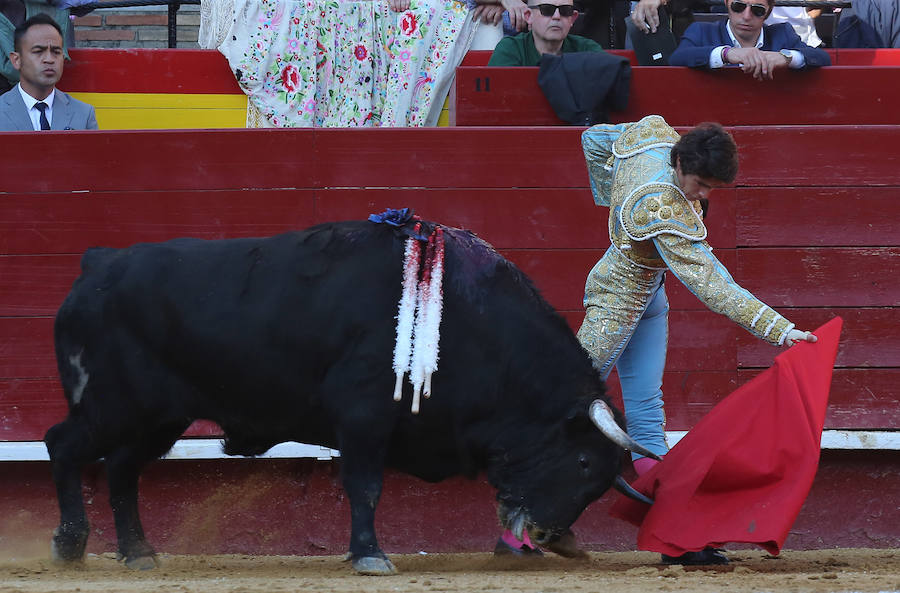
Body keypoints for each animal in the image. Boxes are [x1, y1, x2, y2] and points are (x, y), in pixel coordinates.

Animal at [45, 219, 652, 572]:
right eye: (581, 462)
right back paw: (71, 545)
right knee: (63, 445)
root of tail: (97, 264)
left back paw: (138, 554)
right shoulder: (363, 416)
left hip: (156, 418)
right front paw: (370, 555)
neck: (464, 321)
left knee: (121, 470)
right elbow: (366, 486)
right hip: (113, 407)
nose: (551, 534)